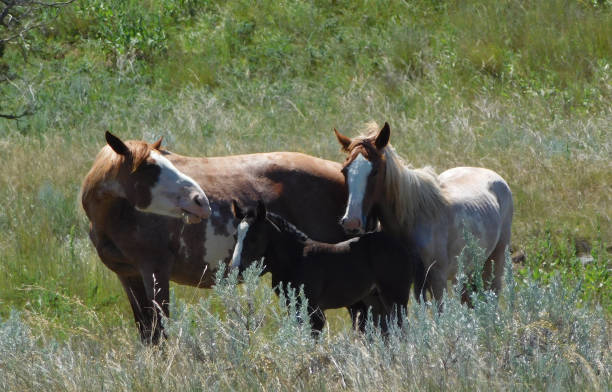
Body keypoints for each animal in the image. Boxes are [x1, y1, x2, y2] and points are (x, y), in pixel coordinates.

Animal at [81, 132, 378, 344]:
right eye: (150, 168)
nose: (199, 200)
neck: (119, 213)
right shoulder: (128, 275)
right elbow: (146, 332)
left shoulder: (155, 272)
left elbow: (159, 330)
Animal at [230, 202, 426, 334]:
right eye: (235, 236)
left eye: (254, 237)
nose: (235, 268)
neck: (295, 260)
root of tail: (402, 247)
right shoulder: (293, 307)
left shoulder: (313, 312)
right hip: (374, 300)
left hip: (396, 297)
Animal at [332, 122, 512, 304]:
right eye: (344, 170)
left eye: (375, 171)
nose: (351, 222)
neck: (414, 218)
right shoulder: (416, 282)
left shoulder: (438, 279)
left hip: (494, 262)